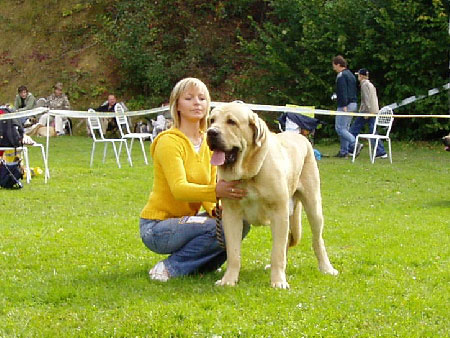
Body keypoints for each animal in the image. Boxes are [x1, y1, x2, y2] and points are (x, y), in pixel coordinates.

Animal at [207, 101, 338, 288]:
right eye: (211, 120)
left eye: (231, 122)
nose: (211, 132)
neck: (248, 173)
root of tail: (301, 137)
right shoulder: (231, 215)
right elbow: (233, 253)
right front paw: (229, 280)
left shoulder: (279, 213)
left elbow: (277, 252)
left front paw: (278, 281)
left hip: (313, 207)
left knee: (316, 240)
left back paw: (326, 268)